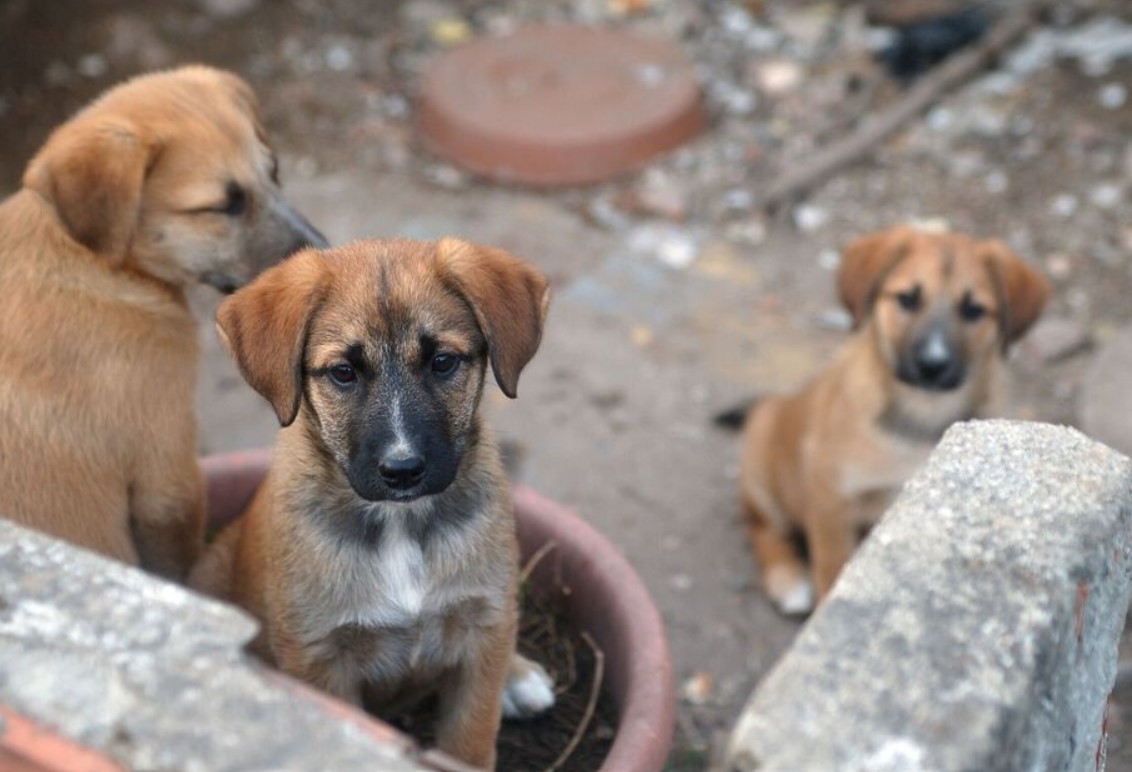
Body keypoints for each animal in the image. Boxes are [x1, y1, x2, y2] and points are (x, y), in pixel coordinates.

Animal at [192, 237, 559, 765]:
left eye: (443, 362)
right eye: (343, 373)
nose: (403, 471)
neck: (399, 521)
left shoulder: (479, 640)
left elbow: (468, 743)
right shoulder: (321, 659)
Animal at [729, 224, 1045, 611]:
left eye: (973, 310)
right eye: (907, 299)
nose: (932, 366)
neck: (922, 415)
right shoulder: (830, 495)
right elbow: (833, 566)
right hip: (764, 471)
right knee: (759, 525)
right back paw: (786, 578)